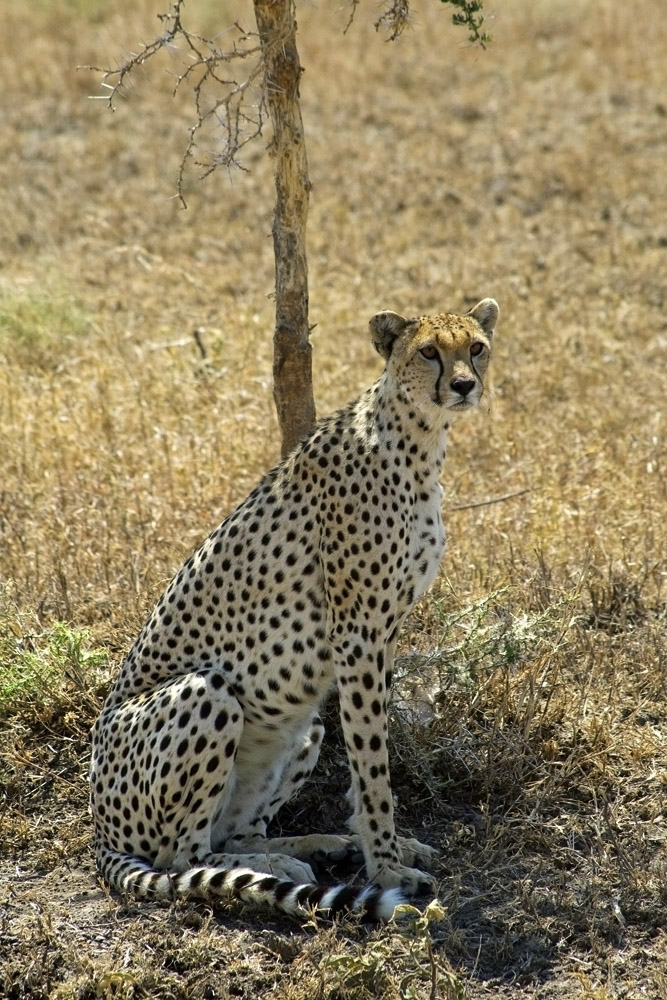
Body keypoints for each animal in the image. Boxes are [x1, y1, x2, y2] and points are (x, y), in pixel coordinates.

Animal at [90, 297, 499, 921]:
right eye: (429, 351)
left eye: (475, 347)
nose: (463, 385)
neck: (416, 438)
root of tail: (97, 832)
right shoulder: (357, 630)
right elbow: (373, 761)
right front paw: (386, 866)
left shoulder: (384, 630)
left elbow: (369, 747)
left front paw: (382, 844)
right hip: (207, 693)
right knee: (181, 857)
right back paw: (277, 868)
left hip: (303, 728)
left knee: (234, 831)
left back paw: (308, 848)